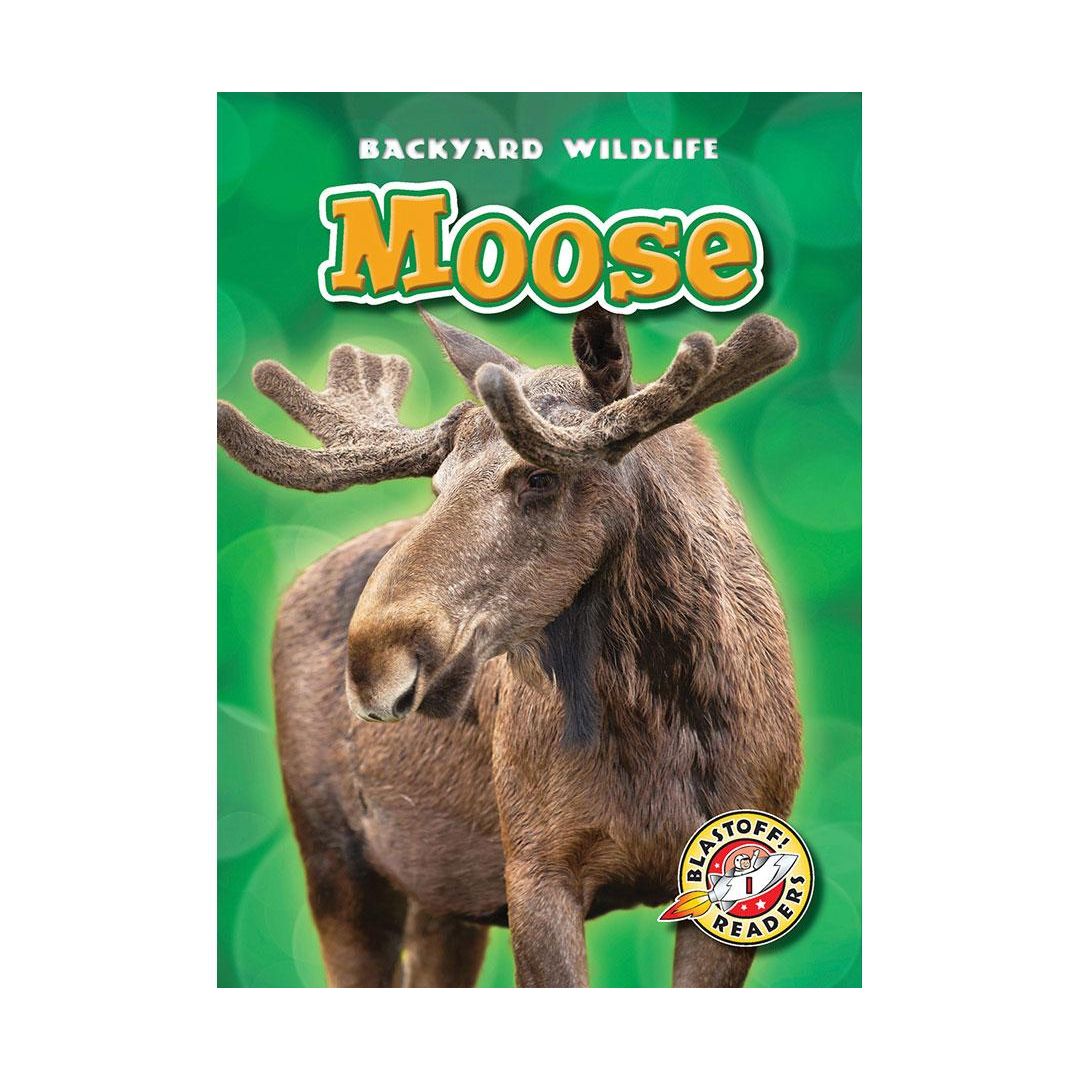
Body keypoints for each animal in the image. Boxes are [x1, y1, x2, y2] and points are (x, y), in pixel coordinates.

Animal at [216, 305, 803, 987]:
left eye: (541, 476)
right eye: (438, 485)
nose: (369, 664)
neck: (662, 713)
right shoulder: (535, 866)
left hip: (445, 897)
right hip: (335, 860)